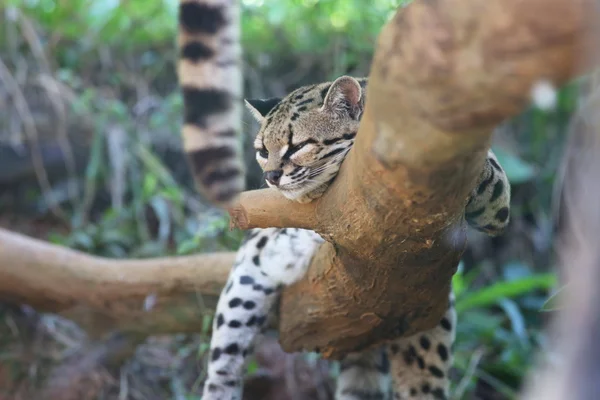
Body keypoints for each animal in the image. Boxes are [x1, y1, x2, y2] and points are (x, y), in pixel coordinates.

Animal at [202, 76, 510, 398]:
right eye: (263, 151)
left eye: (298, 146)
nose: (271, 177)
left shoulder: (497, 208)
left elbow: (491, 178)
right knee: (224, 362)